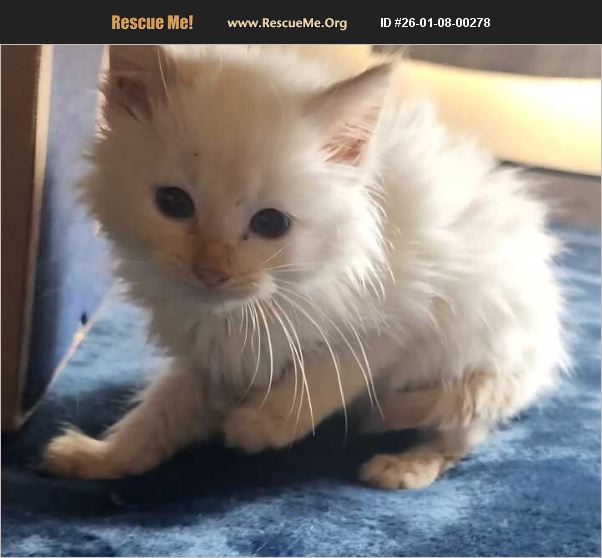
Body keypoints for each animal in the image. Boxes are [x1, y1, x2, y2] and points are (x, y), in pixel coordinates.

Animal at [43, 45, 567, 489]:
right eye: (173, 203)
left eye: (271, 223)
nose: (211, 271)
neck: (239, 315)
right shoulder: (208, 355)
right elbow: (160, 413)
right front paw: (102, 457)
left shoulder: (403, 316)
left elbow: (320, 380)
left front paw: (257, 425)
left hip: (483, 336)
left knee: (458, 430)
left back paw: (402, 466)